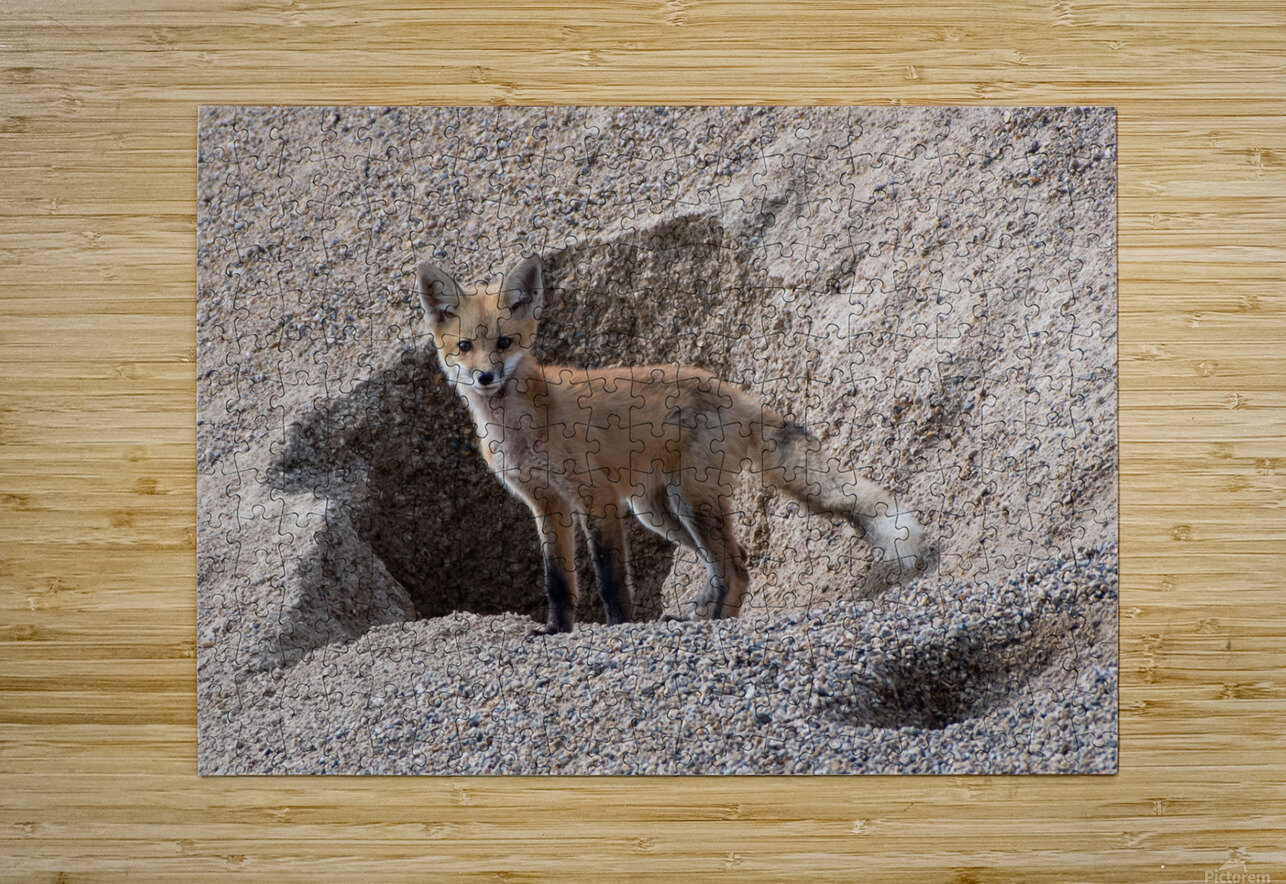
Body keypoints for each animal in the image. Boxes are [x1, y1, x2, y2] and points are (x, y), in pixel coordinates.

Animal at [416, 254, 926, 634]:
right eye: (464, 347)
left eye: (504, 343)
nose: (485, 377)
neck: (525, 428)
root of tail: (734, 392)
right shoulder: (546, 505)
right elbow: (558, 581)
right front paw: (557, 631)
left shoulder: (596, 498)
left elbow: (609, 578)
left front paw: (618, 628)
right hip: (659, 511)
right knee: (731, 563)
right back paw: (703, 615)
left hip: (690, 500)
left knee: (735, 568)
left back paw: (717, 623)